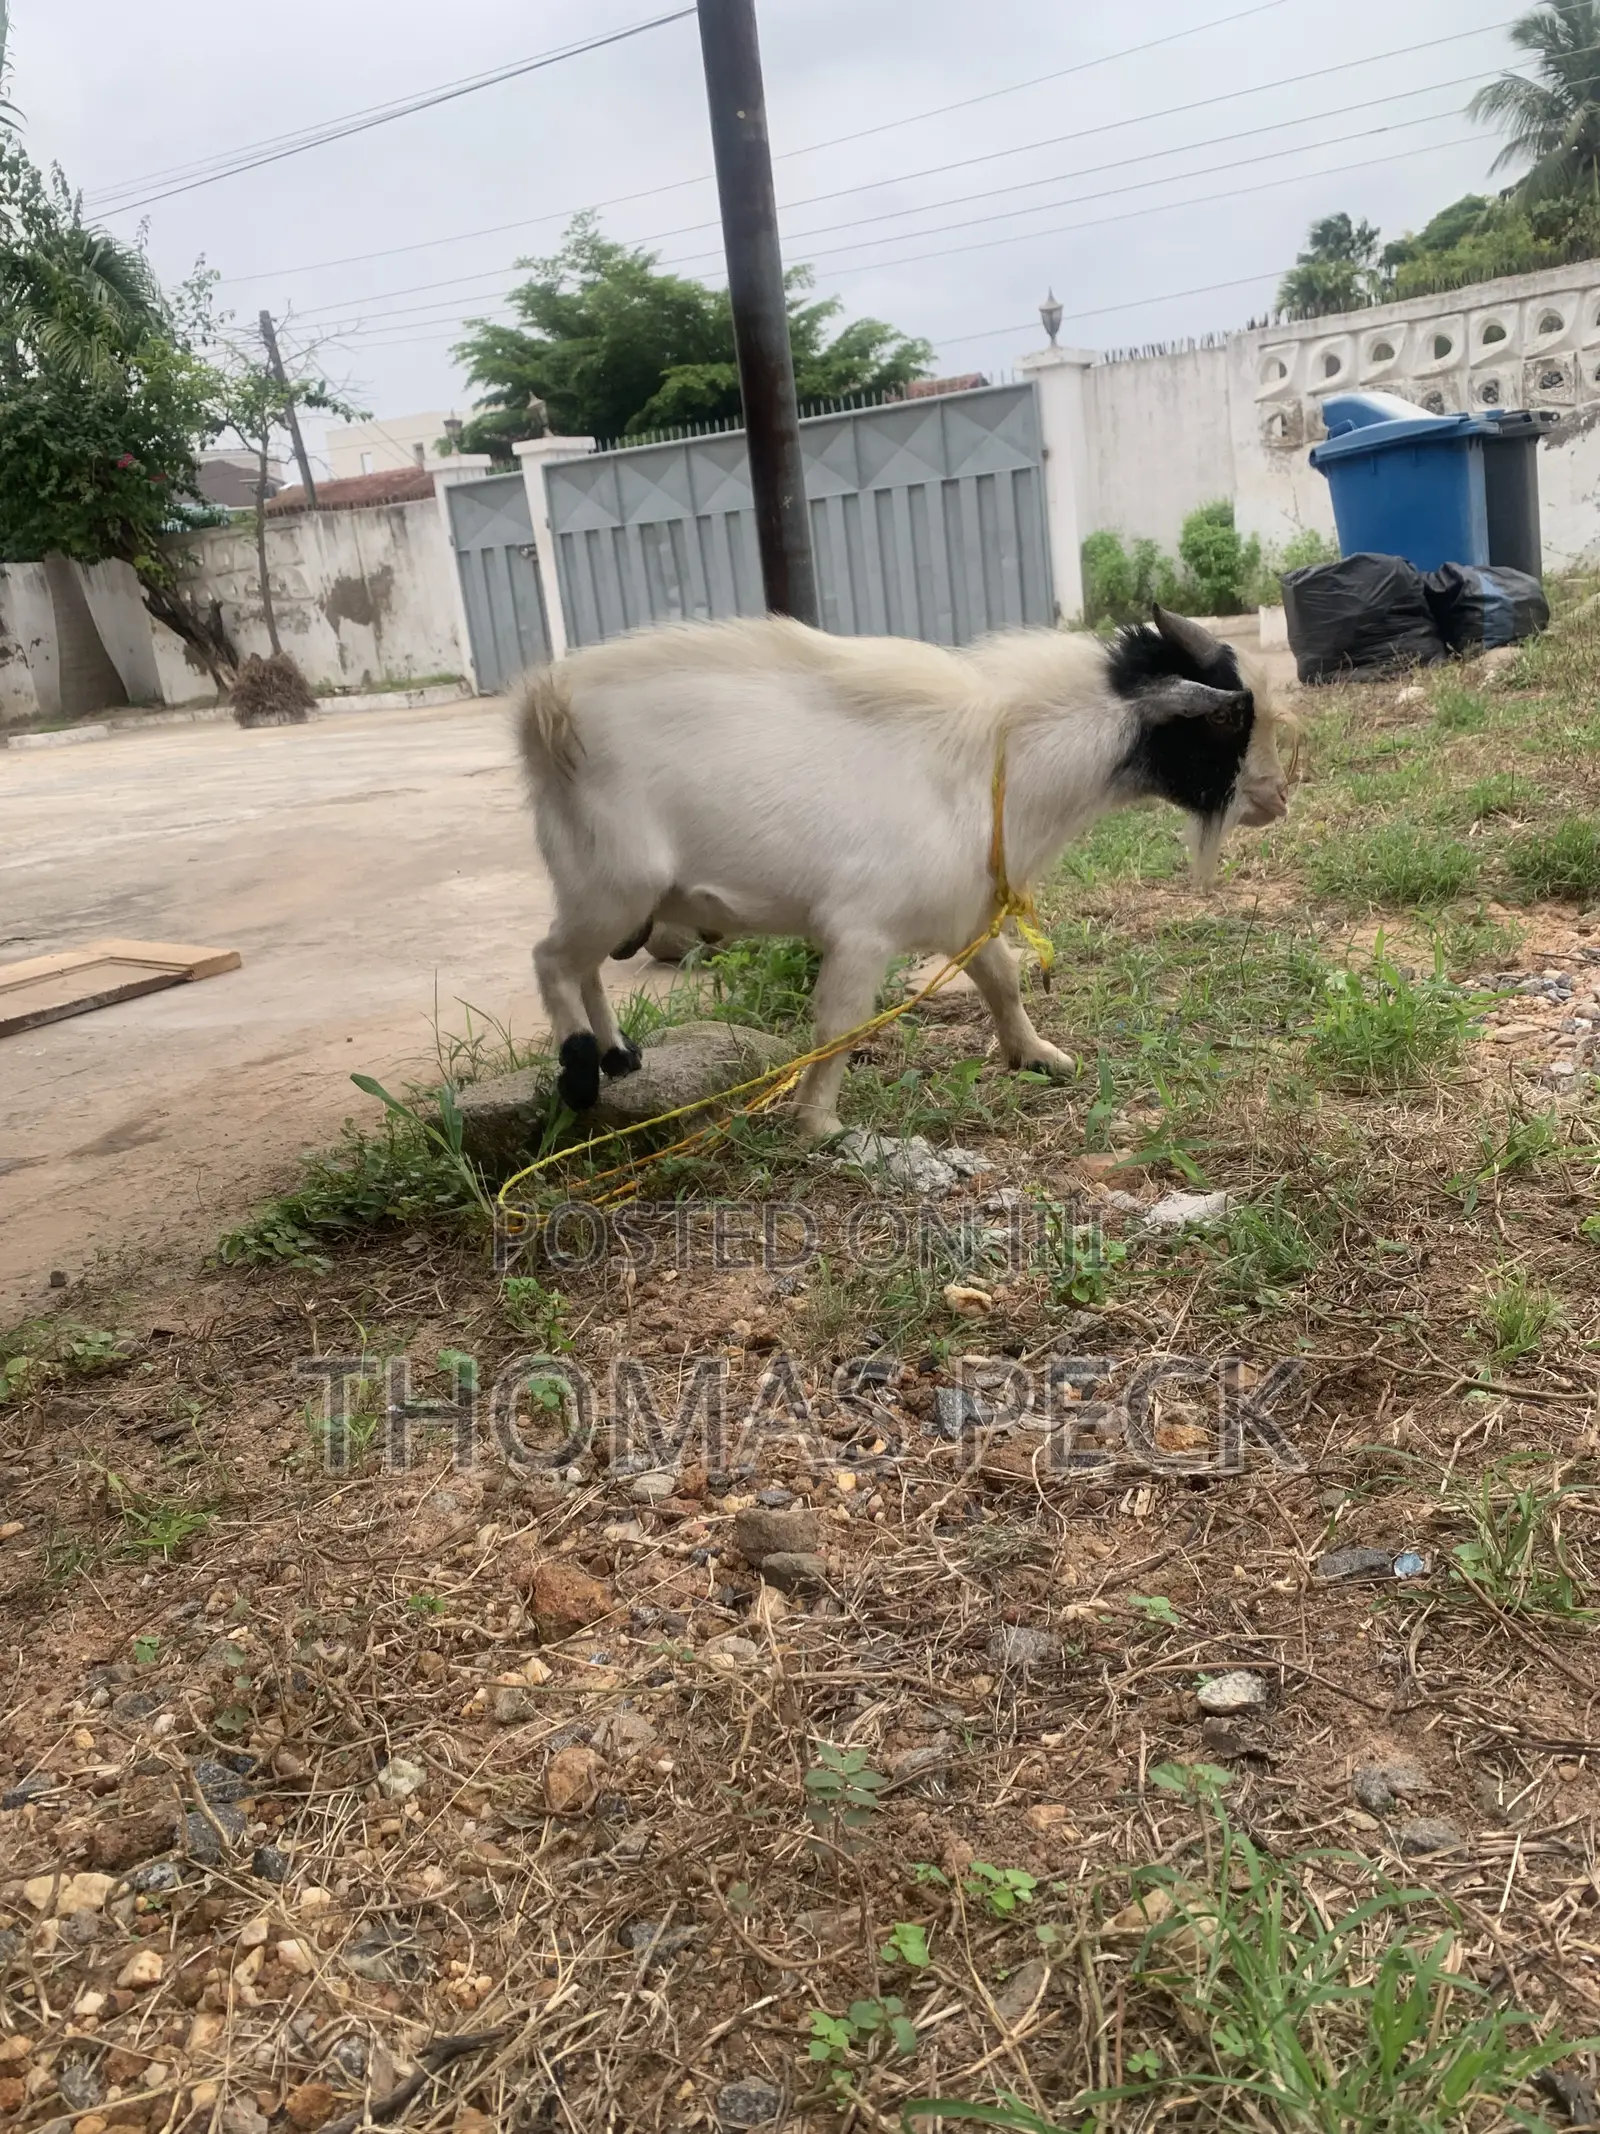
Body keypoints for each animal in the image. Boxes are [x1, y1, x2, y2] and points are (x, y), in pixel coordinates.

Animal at [517, 608, 1291, 1138]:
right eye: (1228, 718)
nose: (1277, 798)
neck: (997, 761)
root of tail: (546, 712)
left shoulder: (961, 914)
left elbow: (1003, 979)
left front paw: (1039, 1056)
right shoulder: (860, 932)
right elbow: (841, 1023)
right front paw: (818, 1124)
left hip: (609, 895)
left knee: (584, 966)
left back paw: (621, 1056)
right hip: (615, 882)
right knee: (551, 958)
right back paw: (581, 1071)